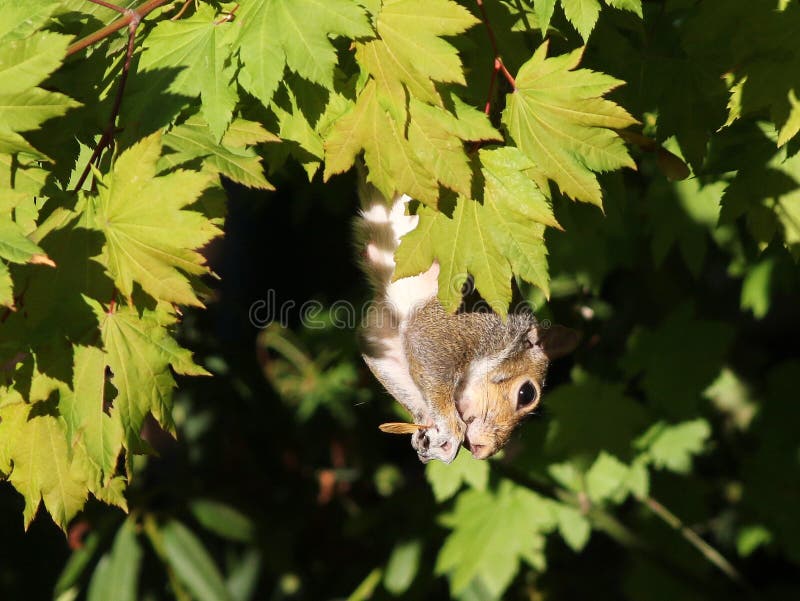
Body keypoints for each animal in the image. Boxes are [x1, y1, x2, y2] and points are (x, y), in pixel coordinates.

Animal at [357, 183, 577, 464]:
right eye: (527, 394)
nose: (484, 450)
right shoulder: (469, 323)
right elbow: (426, 345)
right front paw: (450, 429)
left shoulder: (386, 334)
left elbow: (382, 354)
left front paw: (427, 427)